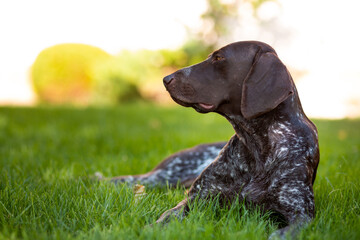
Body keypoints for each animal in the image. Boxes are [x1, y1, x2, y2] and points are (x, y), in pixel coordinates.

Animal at [108, 41, 320, 238]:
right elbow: (168, 215)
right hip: (167, 174)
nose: (166, 79)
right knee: (132, 179)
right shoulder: (196, 198)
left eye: (218, 58)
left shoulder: (301, 213)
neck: (257, 144)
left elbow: (282, 233)